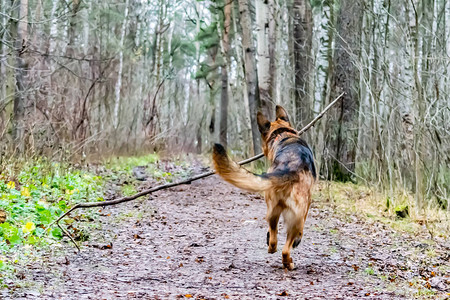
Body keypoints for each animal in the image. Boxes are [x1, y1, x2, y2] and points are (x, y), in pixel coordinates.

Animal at [212, 105, 314, 270]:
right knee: (286, 248)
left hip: (272, 211)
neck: (282, 135)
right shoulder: (307, 205)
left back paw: (273, 248)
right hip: (295, 216)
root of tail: (288, 169)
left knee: (273, 238)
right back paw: (289, 262)